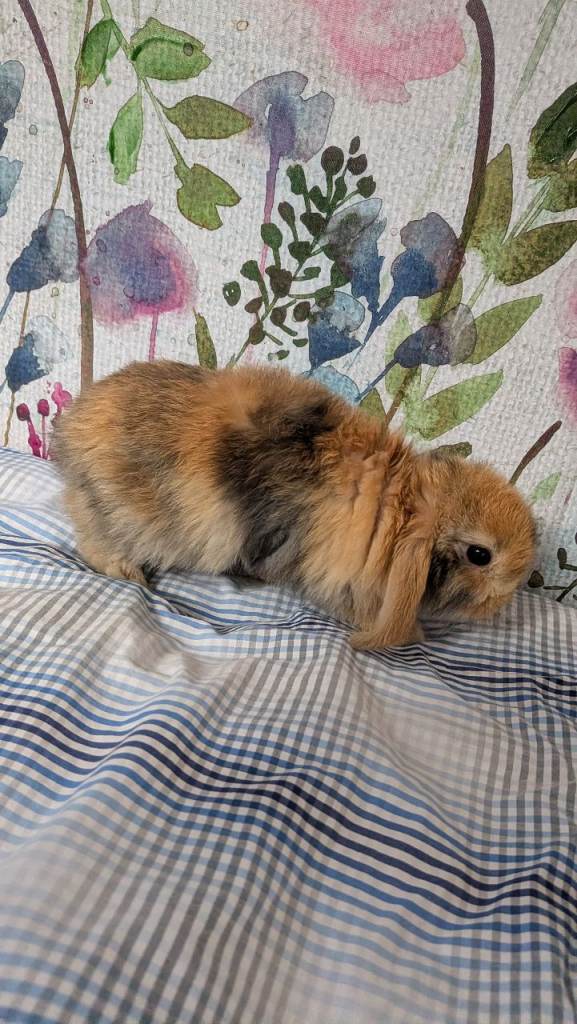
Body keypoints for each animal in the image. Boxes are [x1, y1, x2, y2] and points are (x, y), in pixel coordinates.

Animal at [52, 360, 536, 650]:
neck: (404, 514)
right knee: (94, 544)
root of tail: (70, 433)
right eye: (480, 555)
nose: (507, 597)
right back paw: (130, 573)